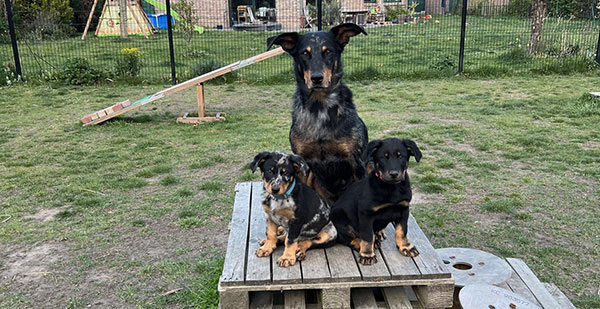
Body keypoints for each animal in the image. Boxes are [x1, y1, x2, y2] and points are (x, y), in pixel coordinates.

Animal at [268, 22, 370, 205]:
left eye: (328, 51)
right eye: (304, 53)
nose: (317, 78)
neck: (319, 107)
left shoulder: (356, 162)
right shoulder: (301, 165)